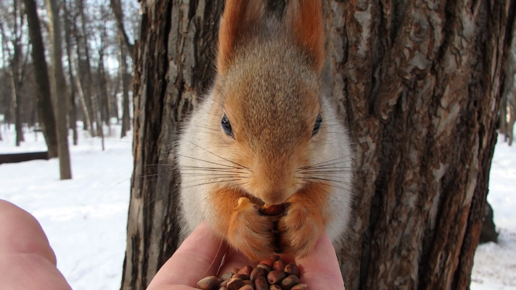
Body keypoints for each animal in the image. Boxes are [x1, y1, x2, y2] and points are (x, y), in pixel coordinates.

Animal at [178, 0, 354, 260]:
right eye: (225, 123)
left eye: (318, 123)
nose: (273, 193)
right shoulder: (201, 170)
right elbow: (214, 203)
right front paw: (243, 224)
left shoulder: (337, 167)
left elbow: (329, 198)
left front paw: (303, 220)